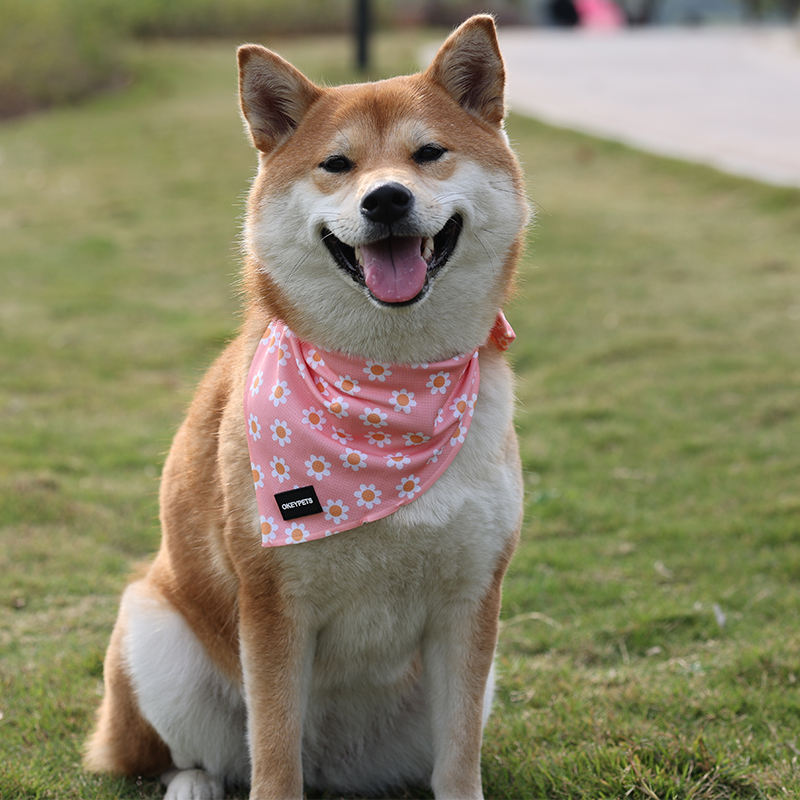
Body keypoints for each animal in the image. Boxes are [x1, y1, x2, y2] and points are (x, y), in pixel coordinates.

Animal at [84, 15, 528, 800]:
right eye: (337, 165)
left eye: (428, 153)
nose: (386, 199)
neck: (389, 385)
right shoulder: (272, 606)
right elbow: (273, 756)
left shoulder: (471, 601)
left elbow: (457, 761)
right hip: (153, 630)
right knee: (182, 755)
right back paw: (191, 783)